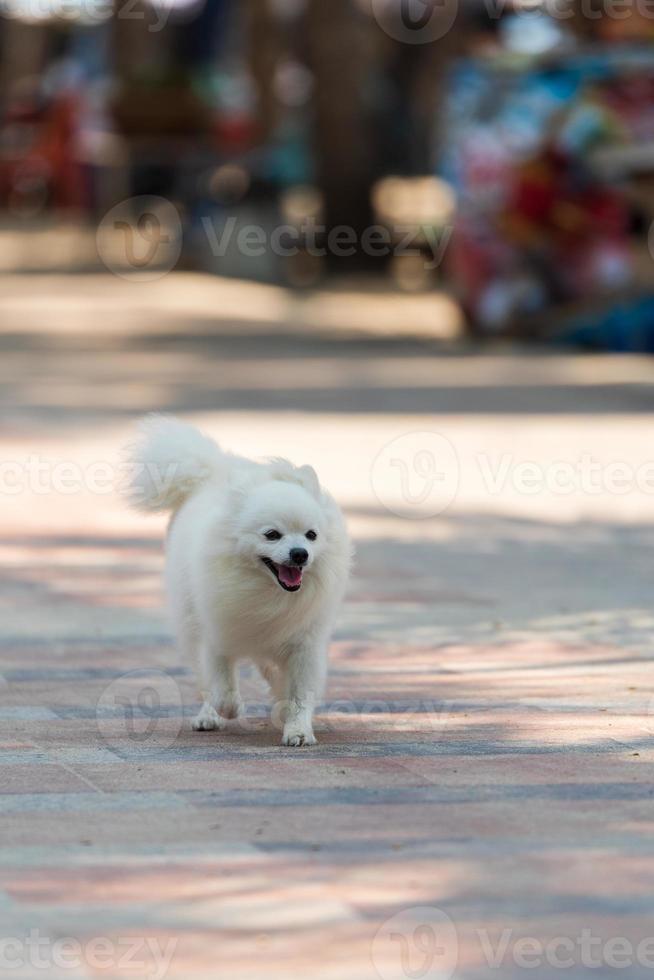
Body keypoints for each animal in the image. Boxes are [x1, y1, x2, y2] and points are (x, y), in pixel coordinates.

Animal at [125, 414, 352, 744]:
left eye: (312, 535)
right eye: (272, 535)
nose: (300, 554)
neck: (267, 593)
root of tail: (215, 469)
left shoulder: (304, 643)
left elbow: (299, 692)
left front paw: (297, 728)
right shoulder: (216, 633)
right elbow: (221, 687)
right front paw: (229, 709)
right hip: (190, 624)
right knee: (205, 679)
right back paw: (209, 716)